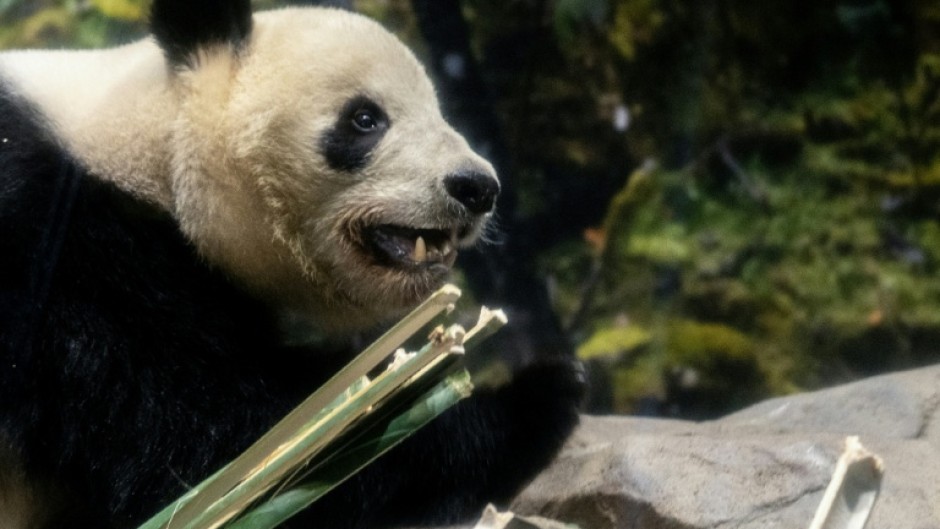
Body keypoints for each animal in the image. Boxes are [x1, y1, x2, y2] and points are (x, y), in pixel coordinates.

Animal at [0, 0, 584, 528]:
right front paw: (530, 400)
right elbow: (223, 439)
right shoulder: (56, 246)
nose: (477, 186)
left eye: (438, 111)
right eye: (365, 119)